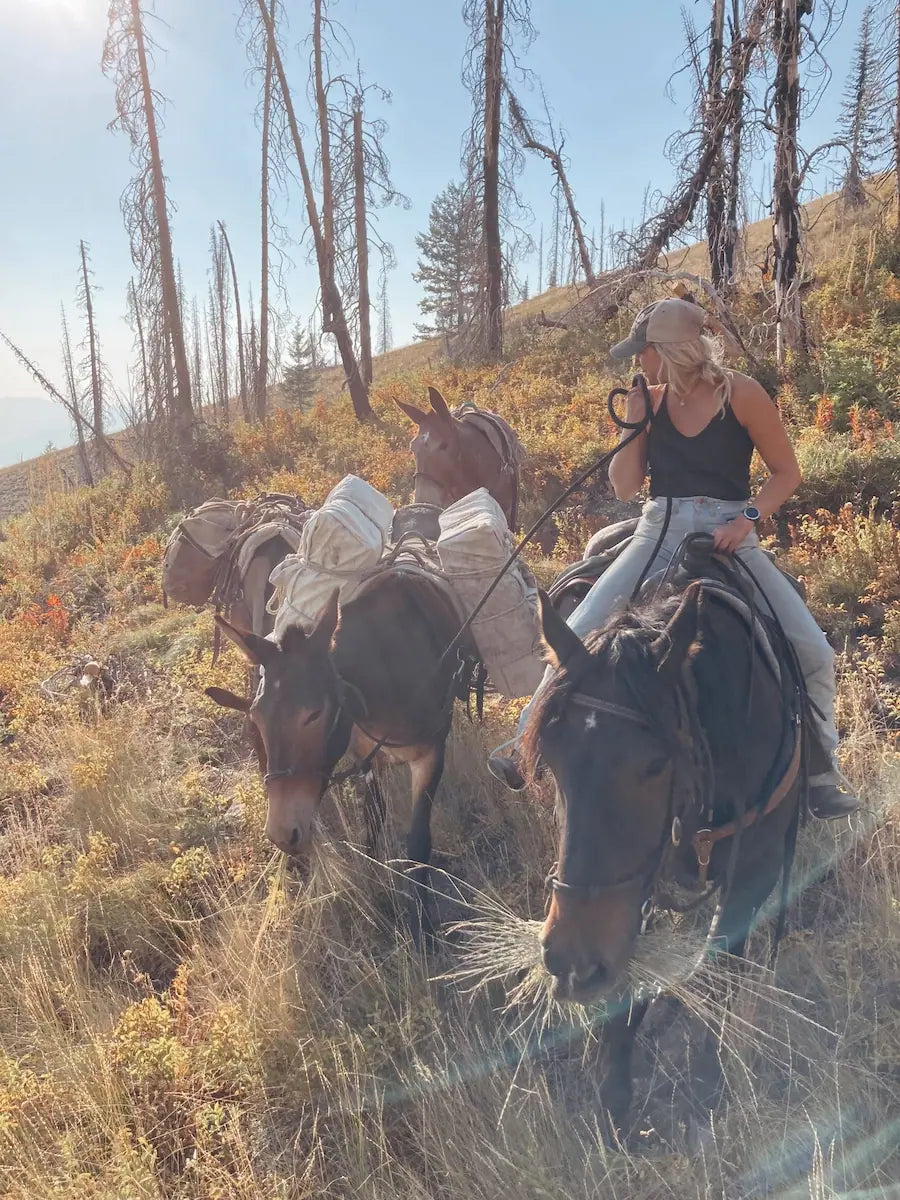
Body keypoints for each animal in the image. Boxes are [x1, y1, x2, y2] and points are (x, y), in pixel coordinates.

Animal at [207, 566, 475, 940]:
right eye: (256, 719)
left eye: (315, 714)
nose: (282, 834)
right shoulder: (364, 756)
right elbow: (373, 822)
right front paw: (374, 881)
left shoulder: (431, 754)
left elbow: (419, 842)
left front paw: (419, 928)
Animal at [520, 580, 801, 1132]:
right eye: (553, 760)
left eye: (654, 764)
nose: (570, 961)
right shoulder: (634, 889)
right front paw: (614, 1098)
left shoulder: (751, 876)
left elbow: (717, 968)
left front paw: (709, 1081)